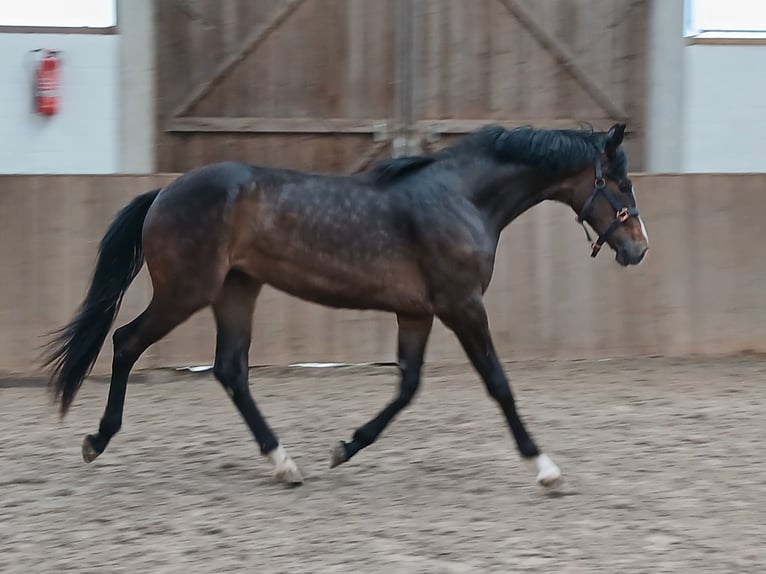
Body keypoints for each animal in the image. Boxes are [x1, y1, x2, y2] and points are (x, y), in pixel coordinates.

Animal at [44, 122, 648, 488]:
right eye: (619, 183)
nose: (639, 249)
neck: (463, 200)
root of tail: (164, 193)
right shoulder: (462, 305)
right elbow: (498, 383)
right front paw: (545, 468)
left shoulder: (417, 312)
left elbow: (407, 387)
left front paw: (344, 448)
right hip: (186, 292)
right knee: (126, 342)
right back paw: (97, 440)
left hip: (237, 290)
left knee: (230, 370)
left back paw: (285, 463)